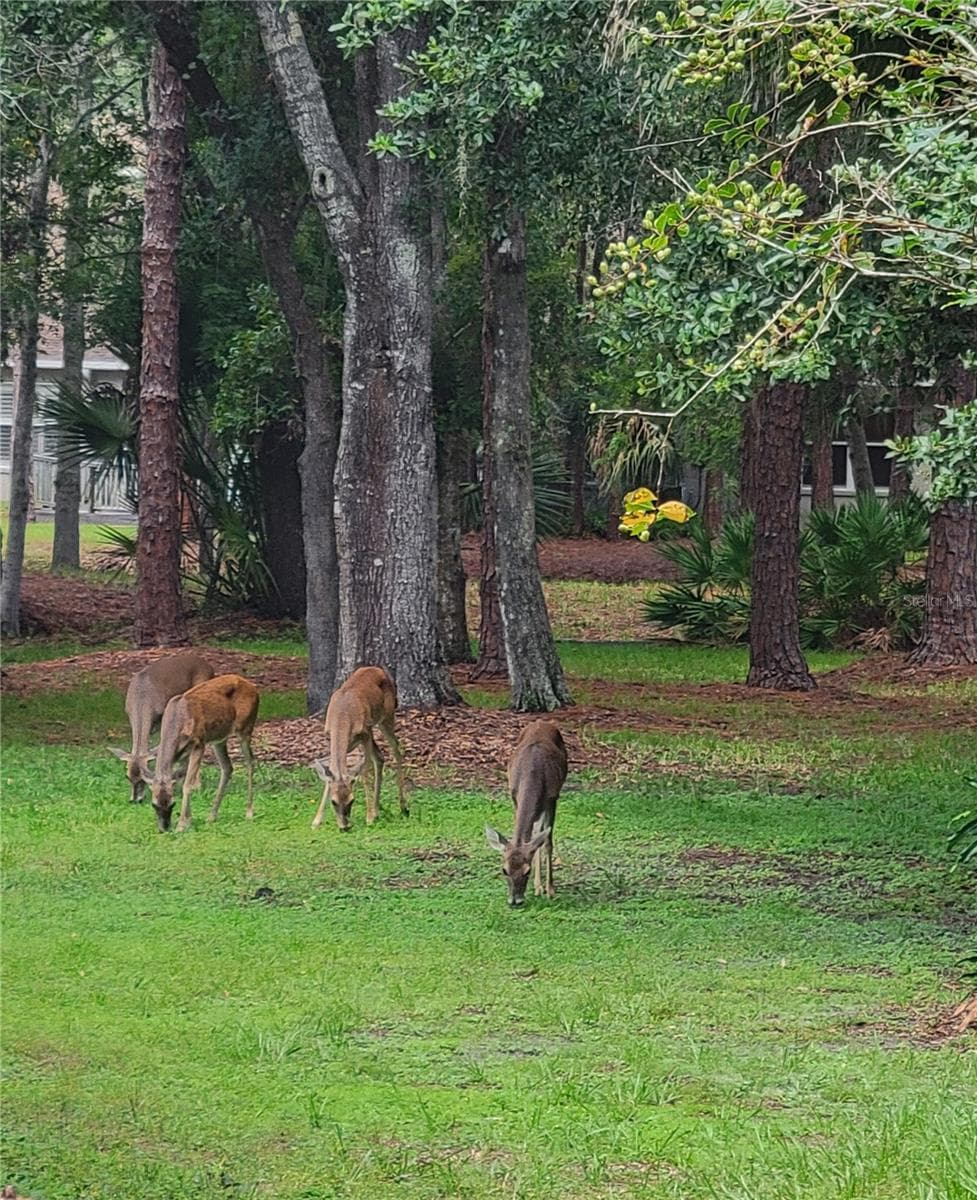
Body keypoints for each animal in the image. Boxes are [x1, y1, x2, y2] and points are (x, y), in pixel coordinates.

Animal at [139, 674, 259, 832]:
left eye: (172, 803)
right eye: (154, 804)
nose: (164, 828)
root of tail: (253, 687)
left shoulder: (199, 743)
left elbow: (187, 785)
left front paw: (182, 824)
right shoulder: (181, 753)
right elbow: (183, 779)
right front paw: (188, 820)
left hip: (245, 728)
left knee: (250, 762)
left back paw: (249, 812)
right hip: (219, 739)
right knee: (227, 767)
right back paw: (212, 816)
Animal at [311, 665, 406, 831]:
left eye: (352, 800)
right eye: (333, 801)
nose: (345, 826)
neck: (343, 717)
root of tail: (379, 669)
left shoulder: (364, 734)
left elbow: (364, 774)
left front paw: (369, 817)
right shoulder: (334, 739)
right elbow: (330, 773)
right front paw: (316, 821)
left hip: (386, 717)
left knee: (396, 749)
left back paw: (402, 807)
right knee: (380, 757)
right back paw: (377, 809)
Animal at [485, 720, 568, 908]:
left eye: (527, 871)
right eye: (504, 870)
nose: (515, 901)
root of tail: (541, 722)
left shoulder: (552, 798)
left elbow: (547, 843)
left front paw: (550, 890)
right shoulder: (514, 795)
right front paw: (539, 887)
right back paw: (538, 887)